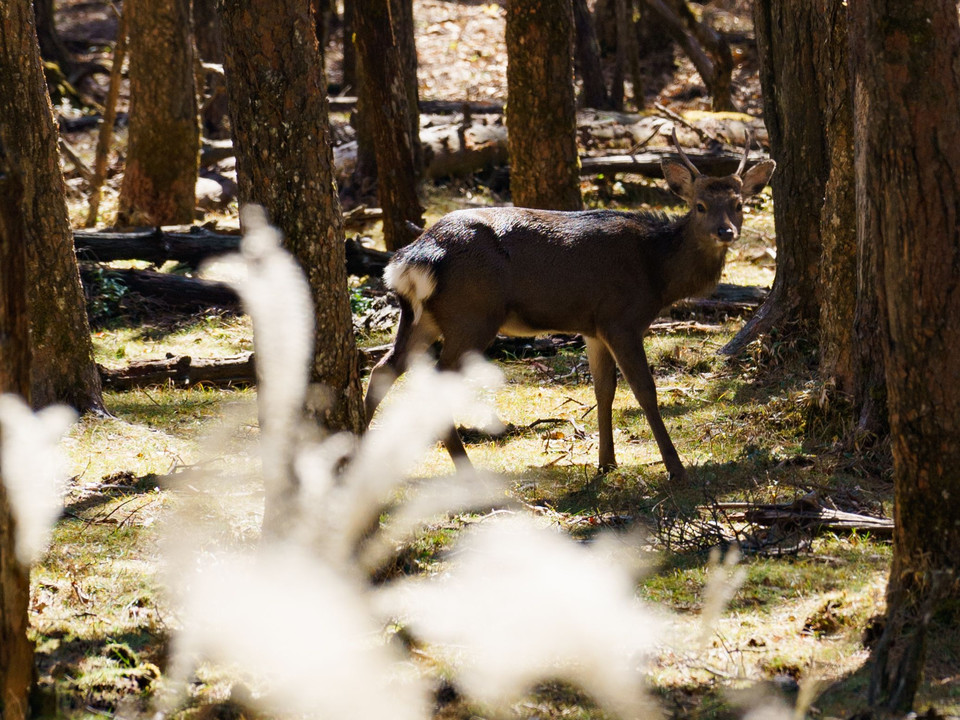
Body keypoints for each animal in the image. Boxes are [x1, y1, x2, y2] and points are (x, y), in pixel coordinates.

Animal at [364, 131, 776, 478]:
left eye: (739, 204)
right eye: (700, 205)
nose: (725, 231)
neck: (656, 272)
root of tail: (414, 256)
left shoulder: (593, 327)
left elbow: (603, 390)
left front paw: (607, 463)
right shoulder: (620, 318)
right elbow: (644, 390)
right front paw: (675, 469)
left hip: (422, 316)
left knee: (384, 368)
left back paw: (356, 452)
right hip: (474, 314)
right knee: (431, 380)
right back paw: (466, 470)